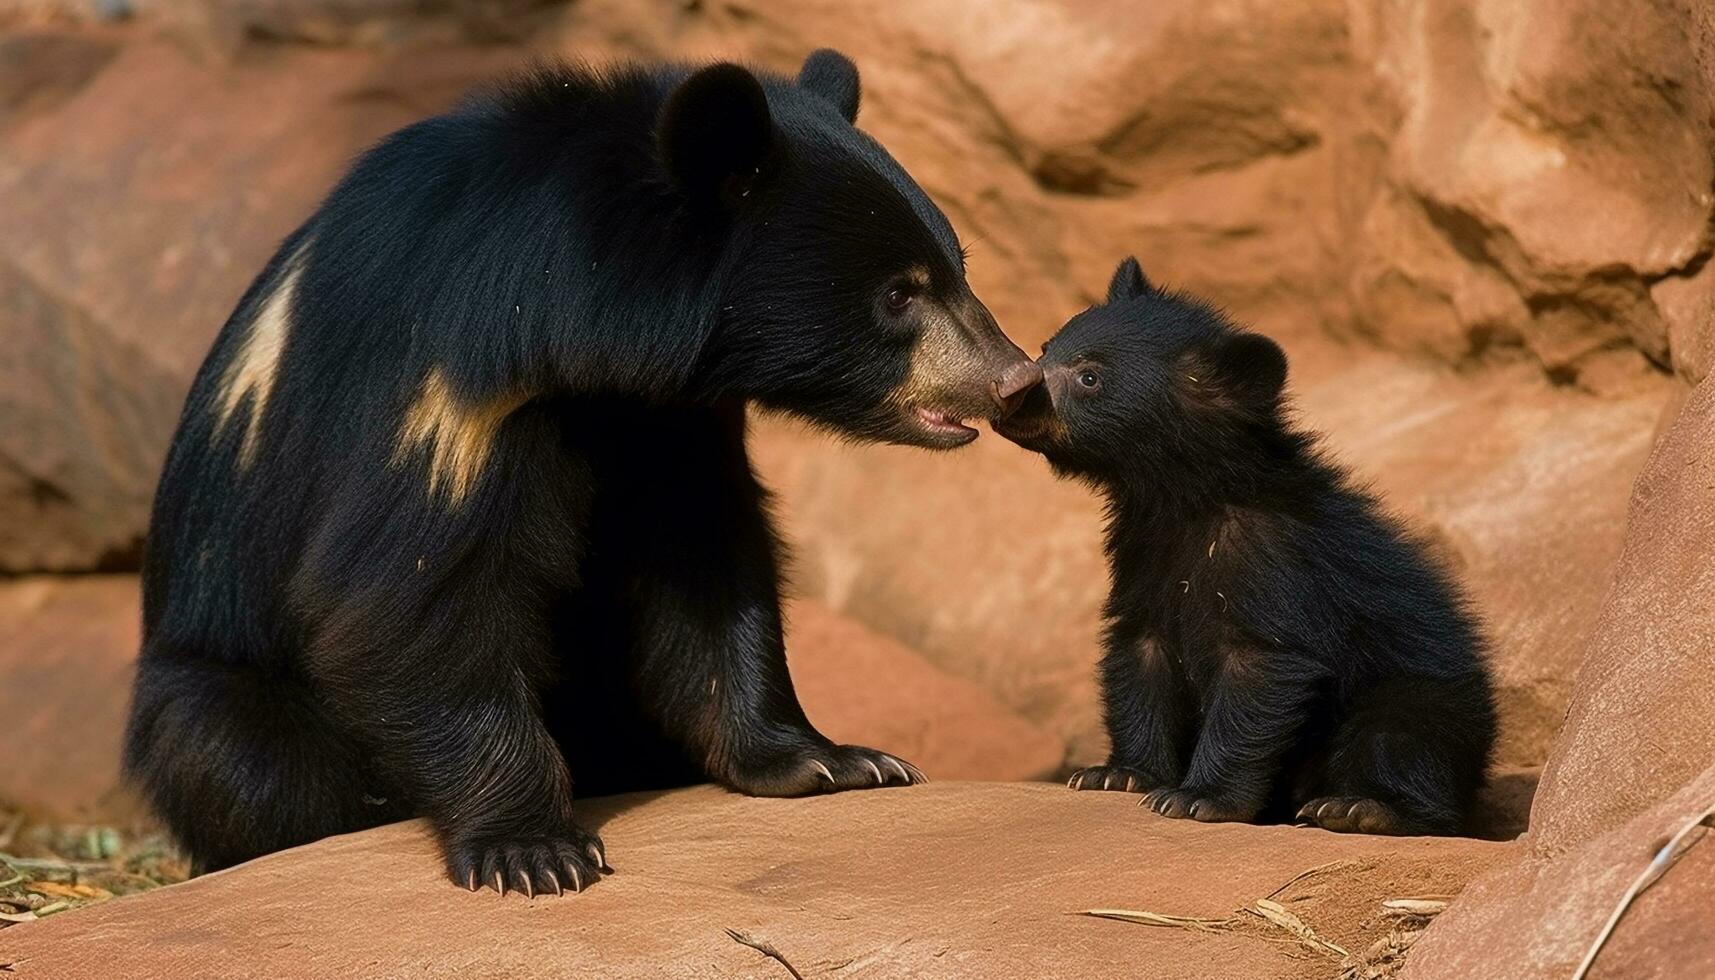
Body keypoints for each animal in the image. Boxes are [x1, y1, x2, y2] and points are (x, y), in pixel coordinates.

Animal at [126, 51, 1035, 899]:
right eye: (898, 295)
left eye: (958, 268)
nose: (1013, 380)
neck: (579, 326)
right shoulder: (453, 381)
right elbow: (411, 600)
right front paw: (533, 852)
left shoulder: (666, 416)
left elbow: (705, 561)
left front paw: (835, 761)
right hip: (217, 673)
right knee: (233, 751)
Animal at [1001, 259, 1495, 837]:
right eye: (1046, 346)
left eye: (1089, 377)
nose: (1007, 391)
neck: (1183, 501)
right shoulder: (1141, 557)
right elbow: (1140, 656)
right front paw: (1116, 774)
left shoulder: (1274, 565)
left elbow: (1259, 672)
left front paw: (1197, 798)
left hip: (1421, 696)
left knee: (1400, 739)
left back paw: (1359, 808)